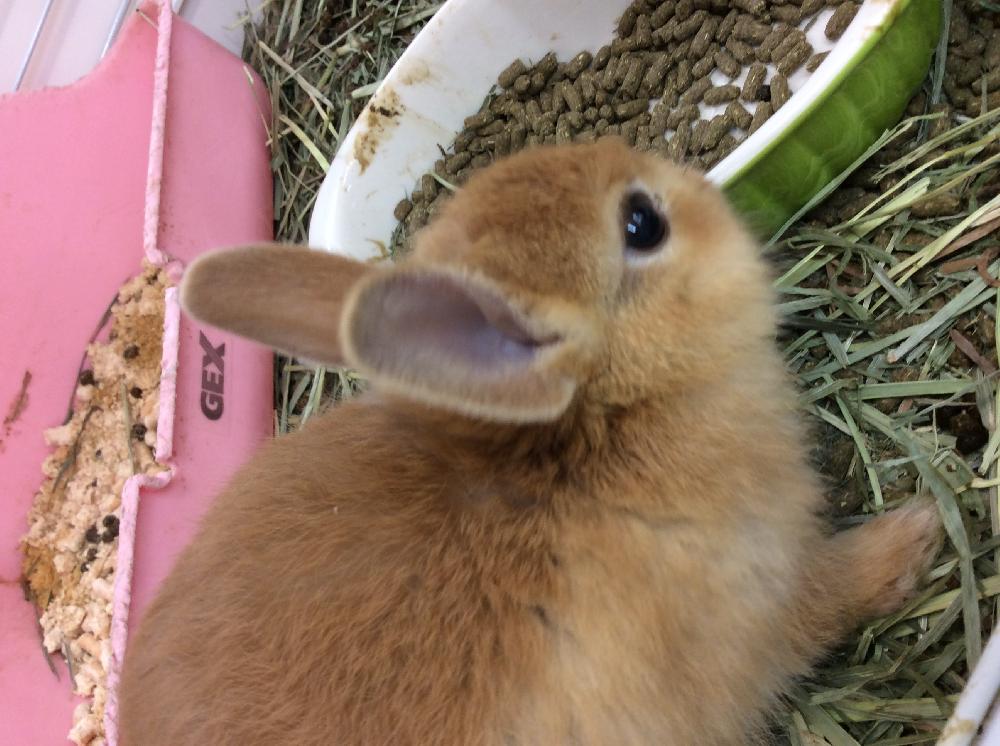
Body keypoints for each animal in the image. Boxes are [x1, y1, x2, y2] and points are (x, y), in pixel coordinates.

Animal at [118, 138, 942, 745]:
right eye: (642, 224)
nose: (693, 182)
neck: (592, 434)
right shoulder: (763, 608)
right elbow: (835, 596)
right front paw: (915, 537)